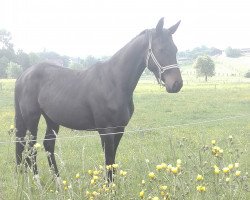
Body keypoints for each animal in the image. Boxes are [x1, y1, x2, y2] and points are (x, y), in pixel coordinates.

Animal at [15, 18, 184, 180]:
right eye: (161, 49)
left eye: (175, 49)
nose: (177, 84)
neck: (114, 81)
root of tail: (23, 75)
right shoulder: (106, 132)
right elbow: (108, 163)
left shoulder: (119, 130)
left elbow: (112, 165)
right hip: (32, 119)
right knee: (30, 149)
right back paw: (36, 181)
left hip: (51, 119)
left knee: (47, 146)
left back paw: (57, 181)